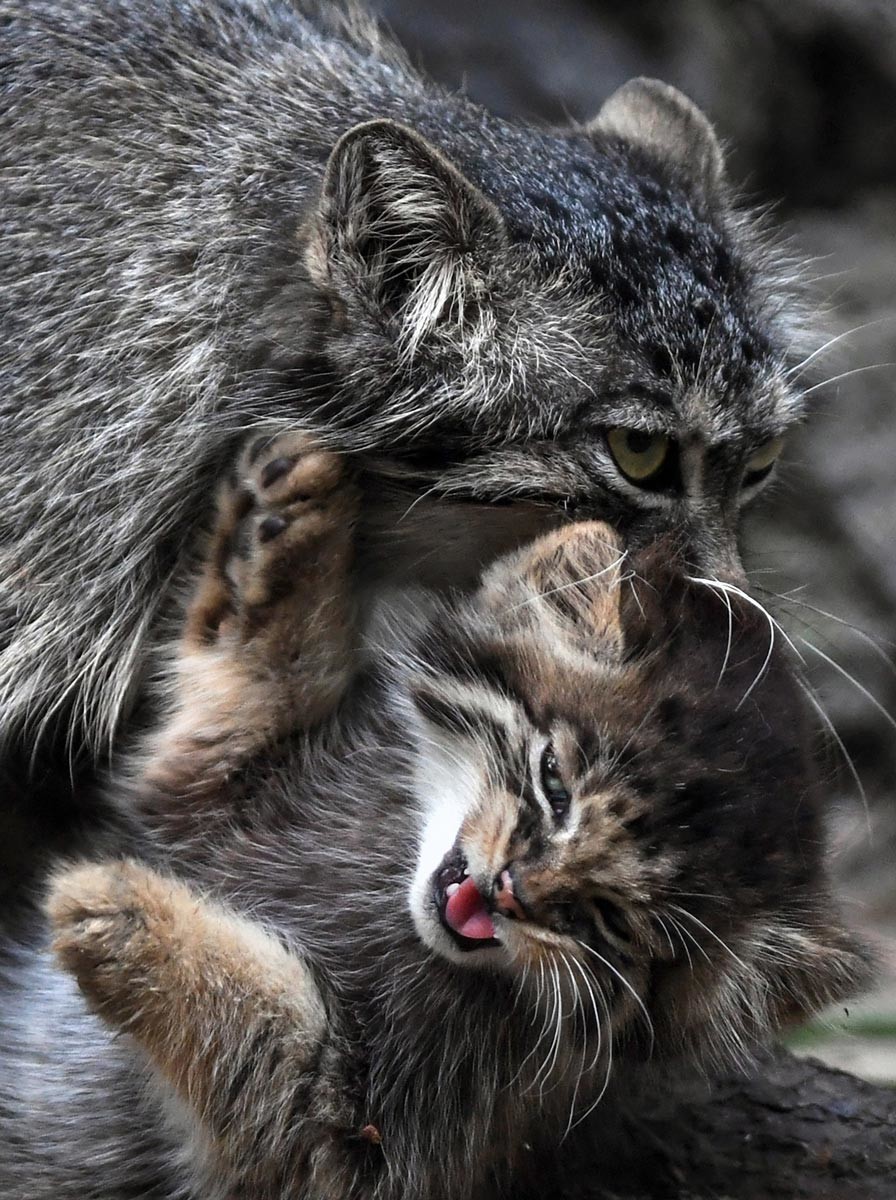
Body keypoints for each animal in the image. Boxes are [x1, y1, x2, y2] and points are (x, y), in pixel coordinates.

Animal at [1, 436, 868, 1200]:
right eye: (554, 783)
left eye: (615, 922)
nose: (513, 889)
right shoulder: (197, 798)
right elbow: (252, 692)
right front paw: (289, 539)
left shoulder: (362, 1142)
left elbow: (268, 1032)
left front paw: (125, 918)